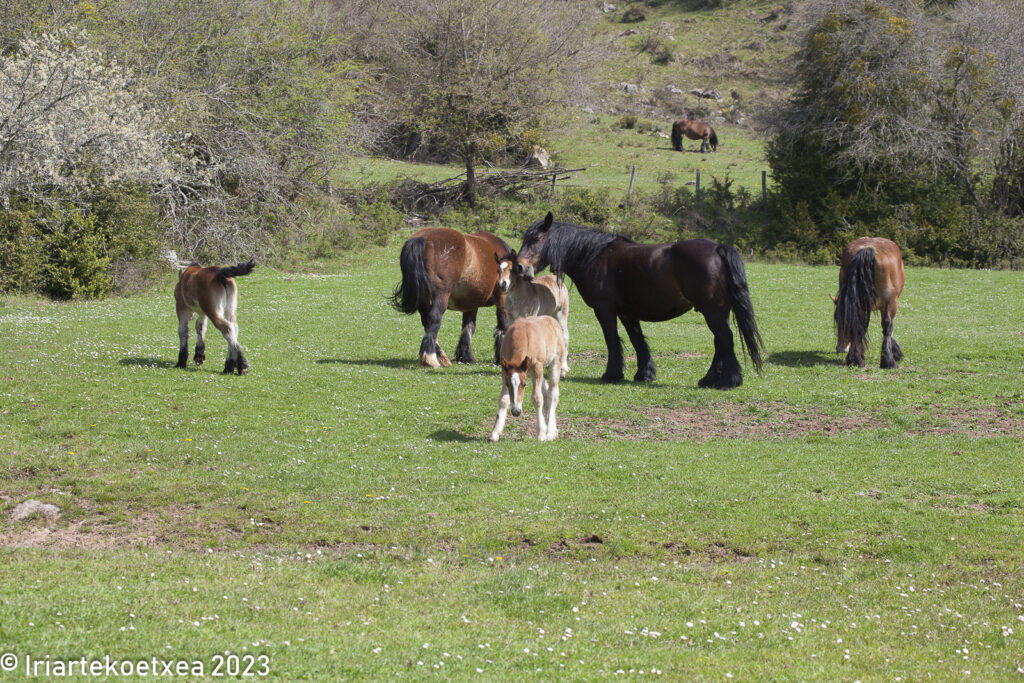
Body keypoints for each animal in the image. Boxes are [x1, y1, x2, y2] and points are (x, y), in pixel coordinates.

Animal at [387, 228, 512, 368]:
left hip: (424, 300)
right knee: (434, 319)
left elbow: (468, 327)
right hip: (441, 297)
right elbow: (503, 326)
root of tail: (422, 238)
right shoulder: (502, 298)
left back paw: (441, 357)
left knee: (426, 322)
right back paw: (430, 358)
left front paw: (465, 356)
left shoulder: (471, 304)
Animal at [512, 211, 761, 389]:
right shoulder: (627, 313)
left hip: (713, 311)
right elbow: (637, 341)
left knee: (725, 339)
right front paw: (644, 374)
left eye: (536, 238)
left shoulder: (605, 310)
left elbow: (612, 340)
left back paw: (729, 381)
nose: (519, 267)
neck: (593, 255)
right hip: (716, 311)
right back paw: (710, 380)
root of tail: (718, 248)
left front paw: (612, 374)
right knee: (720, 342)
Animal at [831, 237, 905, 370]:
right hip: (891, 302)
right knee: (887, 326)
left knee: (858, 325)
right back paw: (888, 361)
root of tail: (868, 249)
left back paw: (855, 359)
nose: (841, 348)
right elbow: (889, 328)